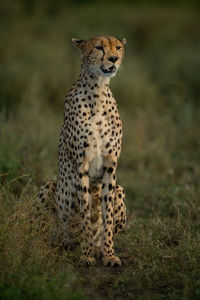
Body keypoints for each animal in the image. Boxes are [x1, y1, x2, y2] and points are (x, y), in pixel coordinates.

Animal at [38, 35, 126, 268]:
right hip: (49, 188)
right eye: (99, 47)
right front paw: (86, 255)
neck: (98, 90)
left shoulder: (110, 164)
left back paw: (97, 247)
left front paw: (109, 254)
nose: (113, 59)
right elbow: (85, 210)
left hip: (120, 189)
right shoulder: (82, 163)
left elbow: (107, 215)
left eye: (118, 47)